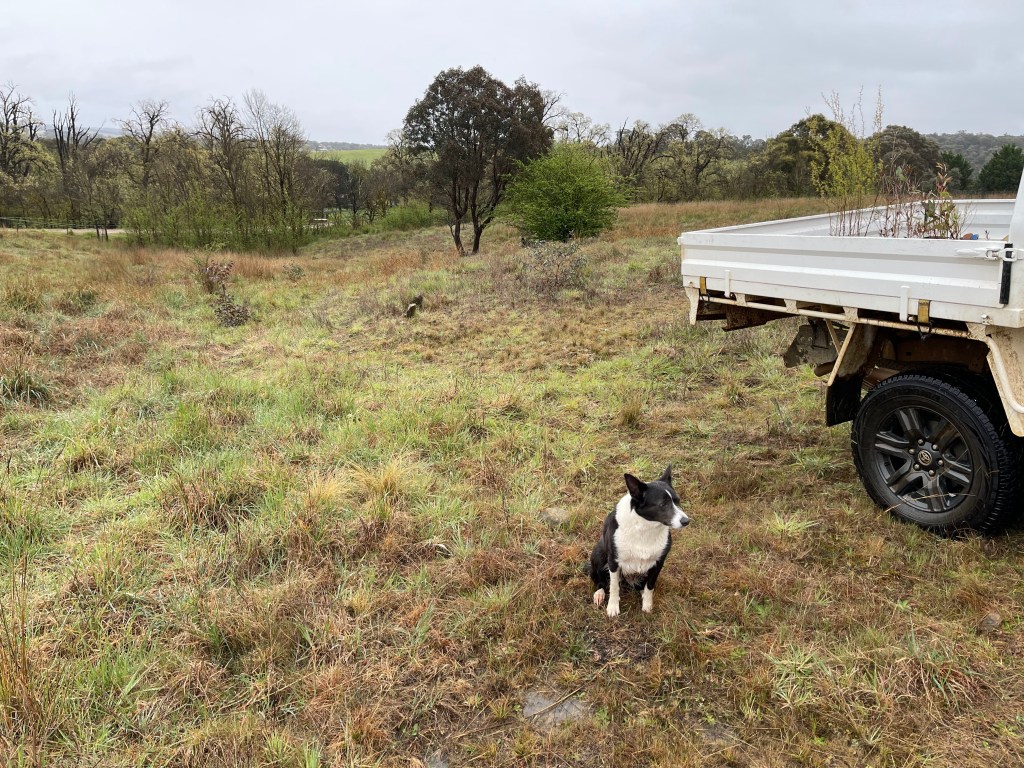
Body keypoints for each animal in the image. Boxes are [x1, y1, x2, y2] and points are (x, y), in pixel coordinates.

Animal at [589, 465, 689, 617]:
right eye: (663, 504)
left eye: (678, 501)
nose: (686, 521)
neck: (645, 527)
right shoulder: (613, 561)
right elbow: (613, 587)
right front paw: (613, 607)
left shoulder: (659, 563)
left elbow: (650, 586)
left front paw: (647, 605)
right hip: (598, 553)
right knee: (600, 580)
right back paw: (600, 593)